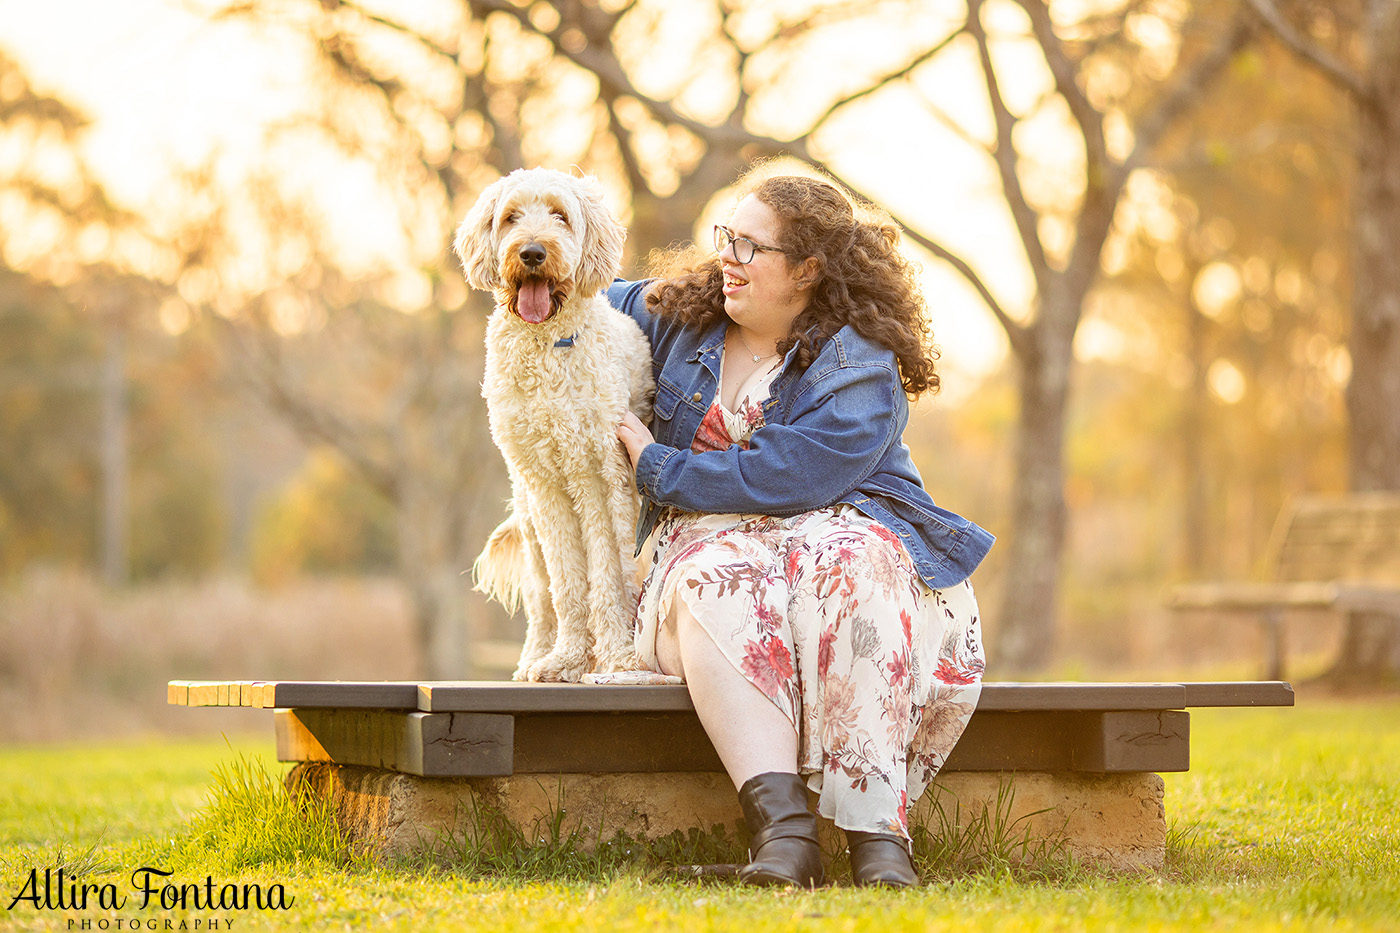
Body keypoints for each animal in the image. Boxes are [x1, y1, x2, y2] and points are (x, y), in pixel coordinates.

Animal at [456, 167, 658, 680]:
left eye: (560, 215)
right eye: (510, 217)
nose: (531, 252)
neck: (546, 342)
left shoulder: (603, 476)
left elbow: (609, 576)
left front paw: (618, 656)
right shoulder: (547, 485)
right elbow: (567, 584)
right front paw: (565, 659)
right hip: (528, 515)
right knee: (541, 594)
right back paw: (536, 655)